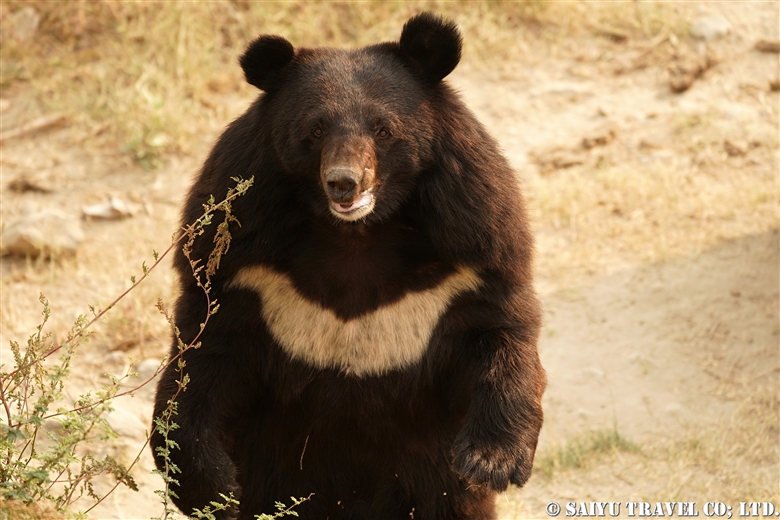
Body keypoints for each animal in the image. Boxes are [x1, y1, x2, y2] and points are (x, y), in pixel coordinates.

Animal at [151, 12, 544, 520]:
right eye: (315, 130)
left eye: (383, 129)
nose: (344, 182)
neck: (356, 236)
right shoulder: (241, 262)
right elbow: (205, 353)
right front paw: (213, 487)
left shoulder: (472, 248)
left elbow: (497, 332)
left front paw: (490, 461)